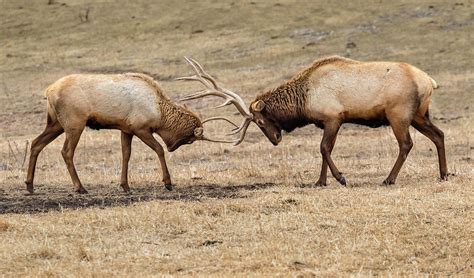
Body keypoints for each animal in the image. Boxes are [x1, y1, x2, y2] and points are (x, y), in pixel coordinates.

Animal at [25, 71, 233, 193]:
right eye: (190, 140)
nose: (172, 146)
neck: (158, 111)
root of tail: (48, 91)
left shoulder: (126, 130)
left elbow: (126, 154)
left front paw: (125, 185)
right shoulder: (141, 128)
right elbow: (158, 150)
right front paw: (167, 182)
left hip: (55, 124)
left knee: (36, 143)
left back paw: (30, 185)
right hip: (74, 123)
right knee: (66, 151)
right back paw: (80, 187)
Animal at [179, 56, 448, 187]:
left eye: (259, 121)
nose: (276, 139)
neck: (304, 101)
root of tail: (429, 81)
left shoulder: (333, 118)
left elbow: (323, 148)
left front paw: (340, 178)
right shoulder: (328, 122)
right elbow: (323, 151)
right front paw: (320, 181)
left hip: (398, 115)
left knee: (406, 144)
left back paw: (389, 179)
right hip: (419, 115)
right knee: (439, 135)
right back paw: (444, 174)